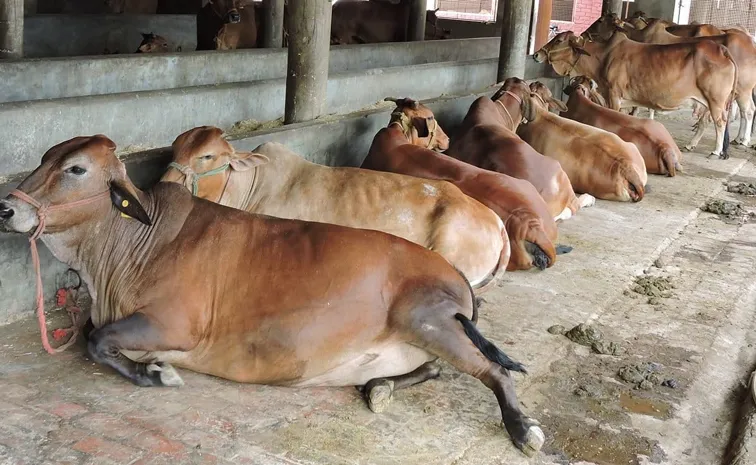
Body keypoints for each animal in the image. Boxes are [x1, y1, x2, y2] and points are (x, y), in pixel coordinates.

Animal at [534, 31, 738, 158]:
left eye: (559, 40)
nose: (536, 55)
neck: (603, 56)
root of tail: (723, 50)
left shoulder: (614, 94)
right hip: (707, 102)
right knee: (707, 121)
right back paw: (692, 144)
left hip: (715, 99)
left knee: (720, 122)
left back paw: (716, 151)